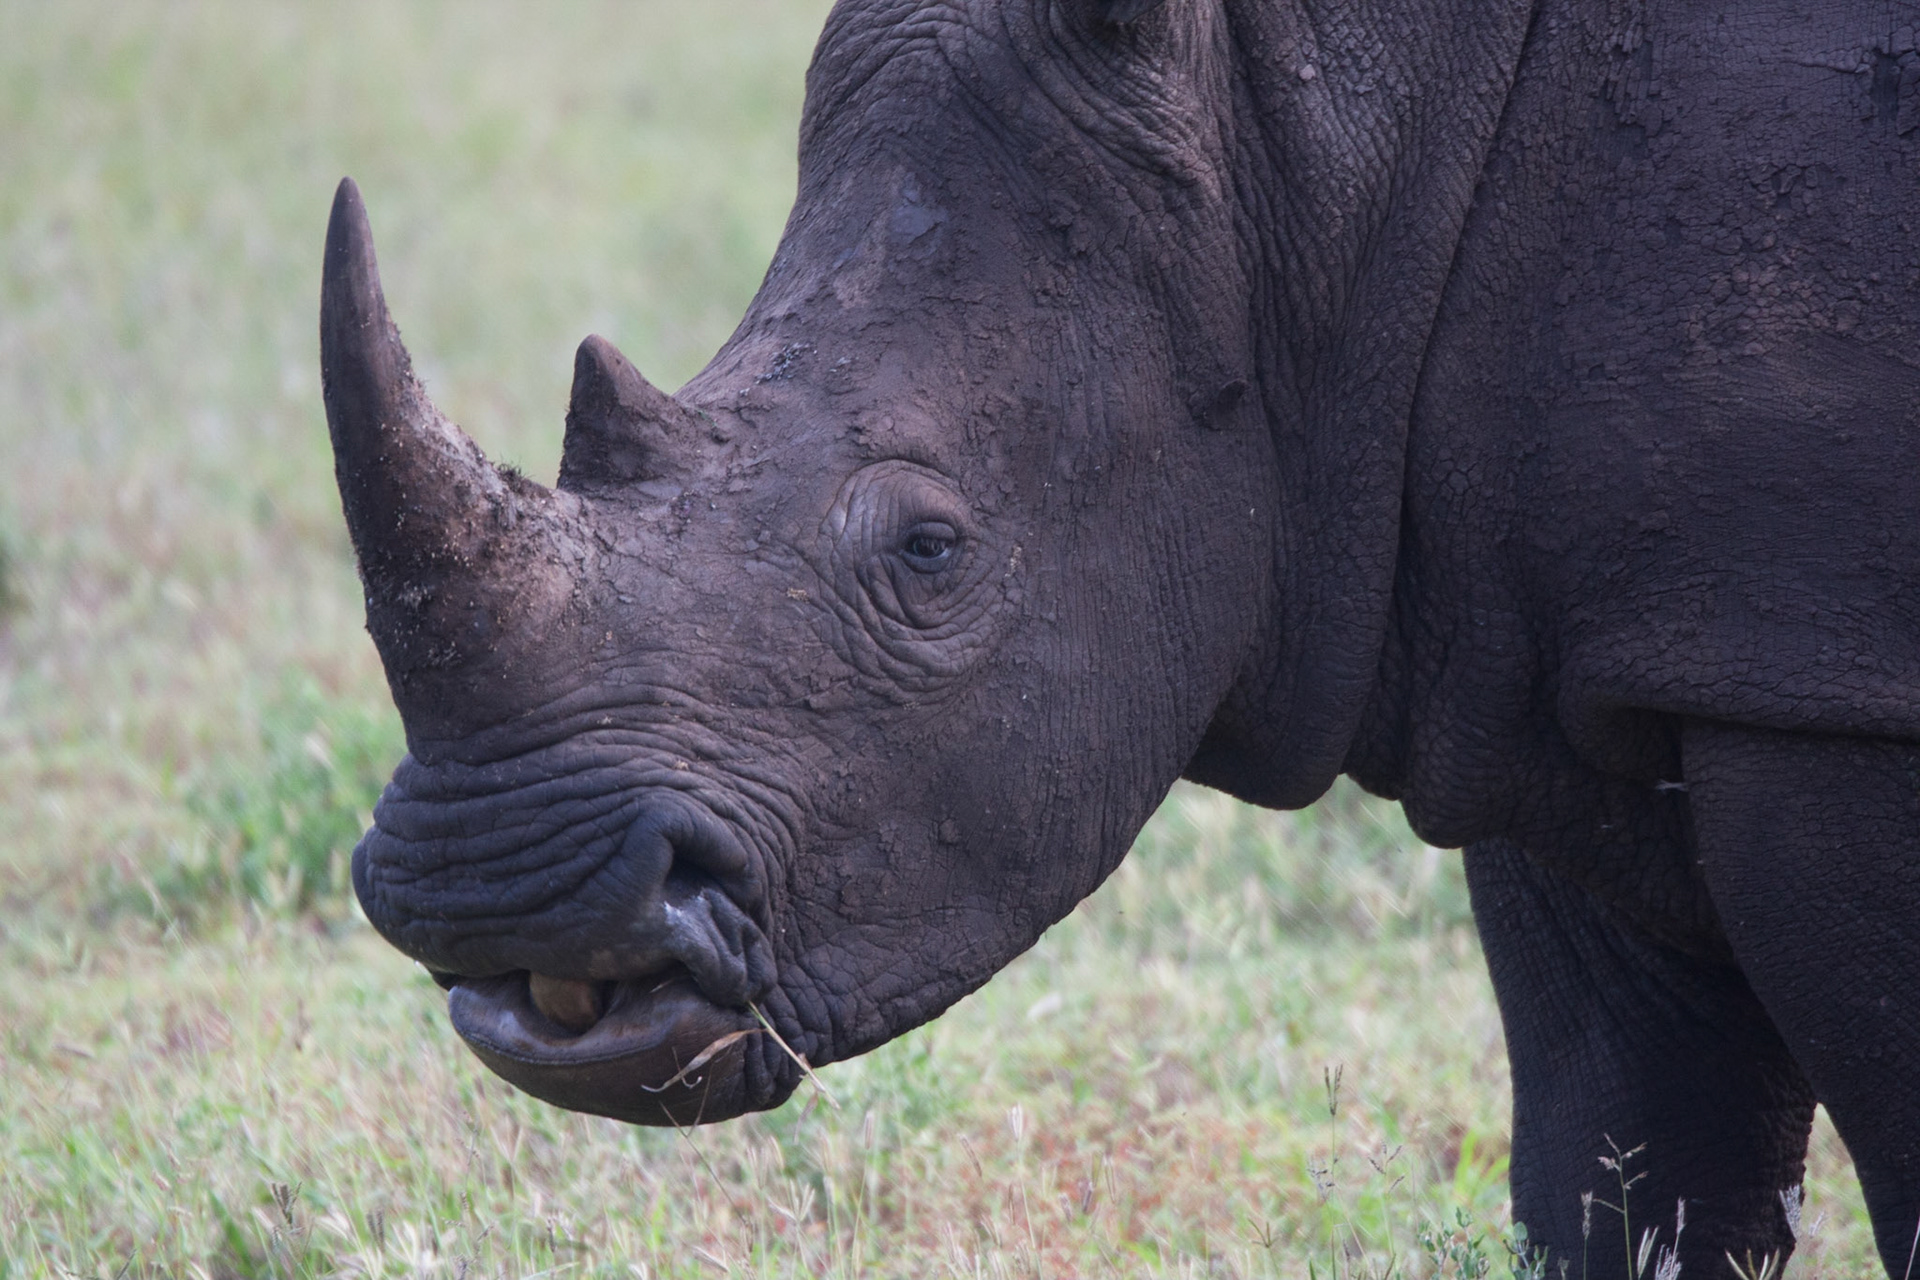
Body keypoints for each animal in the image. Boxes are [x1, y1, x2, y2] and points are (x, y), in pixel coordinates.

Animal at [319, 0, 1920, 1273]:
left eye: (930, 551)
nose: (495, 893)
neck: (1326, 159)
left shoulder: (1819, 681)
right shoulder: (1562, 657)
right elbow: (1626, 1157)